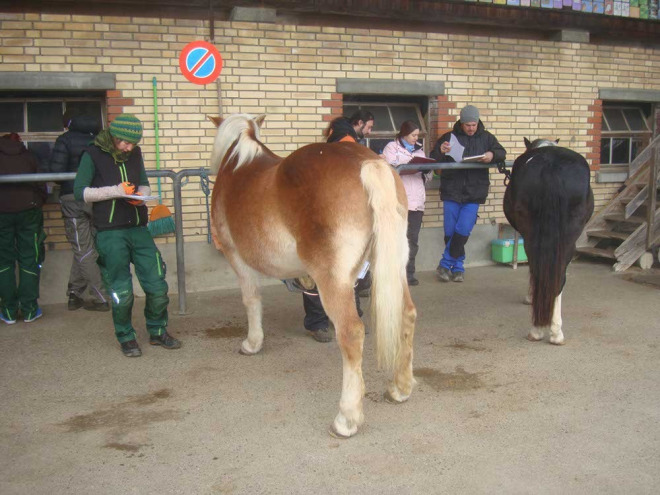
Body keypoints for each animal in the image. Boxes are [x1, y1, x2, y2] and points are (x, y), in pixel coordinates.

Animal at [208, 114, 416, 438]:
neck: (238, 163)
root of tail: (368, 164)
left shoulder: (236, 257)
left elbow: (251, 300)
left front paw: (252, 343)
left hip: (334, 279)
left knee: (351, 332)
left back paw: (346, 419)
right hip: (394, 263)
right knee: (406, 314)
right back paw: (400, 389)